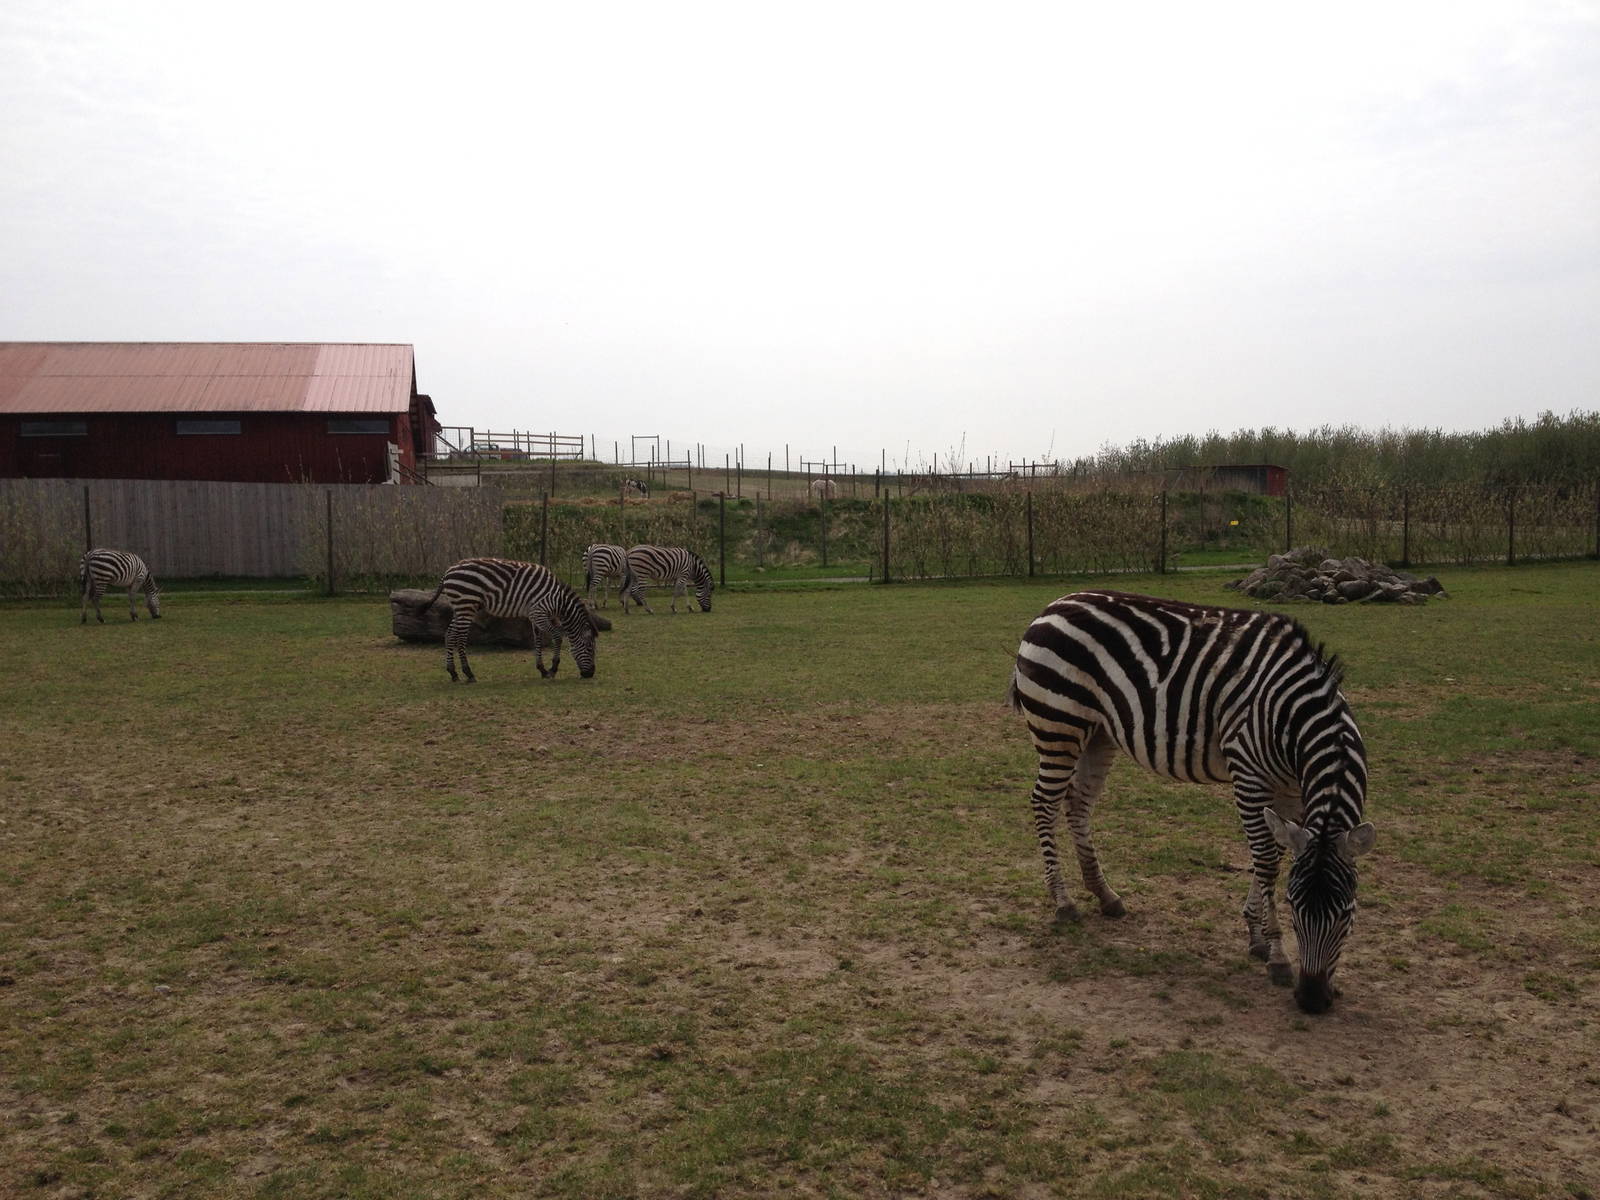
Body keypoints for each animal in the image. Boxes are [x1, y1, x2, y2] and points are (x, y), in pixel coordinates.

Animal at [420, 557, 610, 682]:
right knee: (459, 638)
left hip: (461, 608)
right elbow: (557, 636)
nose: (590, 674)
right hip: (466, 605)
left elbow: (538, 641)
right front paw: (553, 668)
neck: (557, 600)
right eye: (590, 648)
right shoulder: (539, 613)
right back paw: (469, 673)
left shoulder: (535, 615)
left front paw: (542, 669)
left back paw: (453, 673)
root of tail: (448, 572)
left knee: (449, 634)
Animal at [1009, 589, 1376, 1015]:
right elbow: (1266, 860)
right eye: (1295, 907)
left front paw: (1256, 935)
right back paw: (1063, 901)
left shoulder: (1291, 790)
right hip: (1059, 725)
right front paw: (1276, 954)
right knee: (1044, 802)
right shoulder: (1248, 774)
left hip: (1098, 732)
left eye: (1347, 913)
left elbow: (1276, 856)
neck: (1294, 714)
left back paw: (1104, 894)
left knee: (1079, 803)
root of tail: (1054, 604)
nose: (1312, 1001)